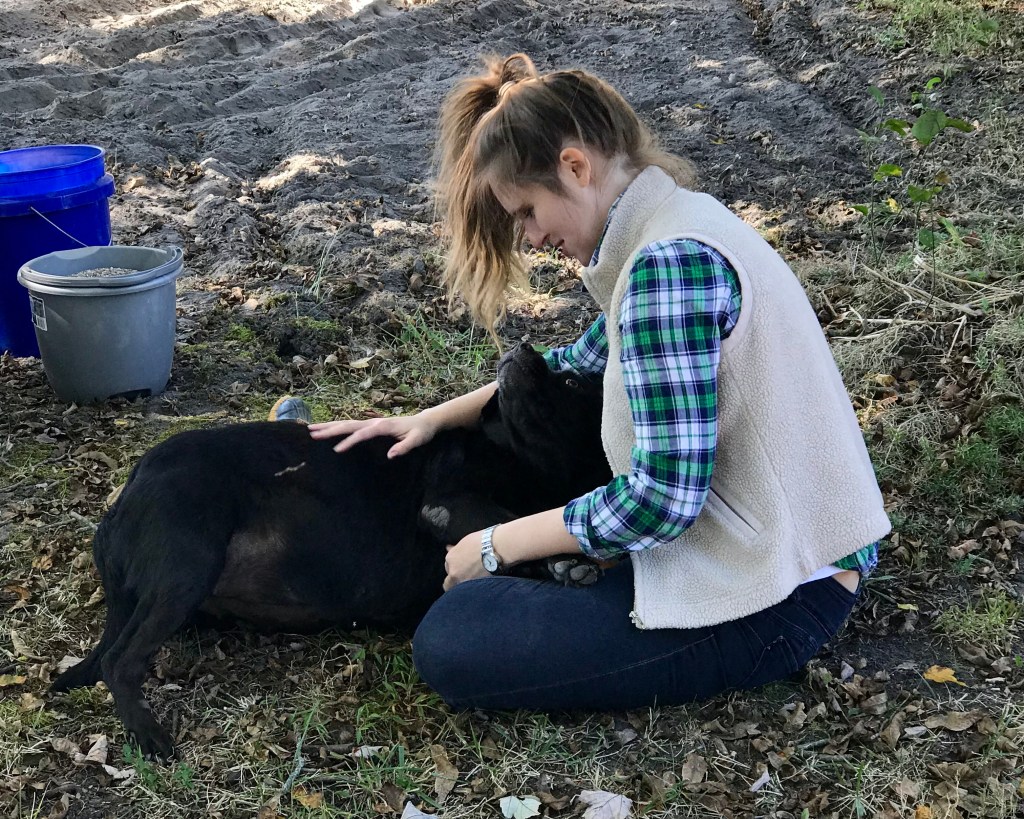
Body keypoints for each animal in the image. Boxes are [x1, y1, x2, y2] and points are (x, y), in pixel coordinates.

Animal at [54, 341, 606, 757]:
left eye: (572, 384)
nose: (523, 345)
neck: (519, 457)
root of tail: (126, 491)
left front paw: (563, 563)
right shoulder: (445, 505)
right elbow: (506, 522)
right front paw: (567, 560)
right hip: (188, 566)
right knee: (117, 660)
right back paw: (146, 732)